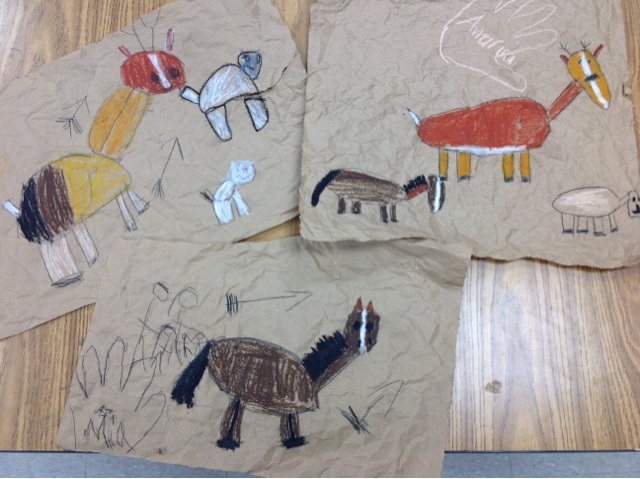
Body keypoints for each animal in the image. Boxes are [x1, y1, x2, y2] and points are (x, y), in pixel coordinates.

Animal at [171, 298, 381, 450]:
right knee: (233, 416)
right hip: (239, 392)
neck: (312, 379)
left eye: (373, 324)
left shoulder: (289, 408)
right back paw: (229, 444)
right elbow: (291, 426)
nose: (366, 344)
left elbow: (290, 427)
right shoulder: (292, 403)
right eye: (356, 324)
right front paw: (295, 444)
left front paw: (293, 443)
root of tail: (213, 344)